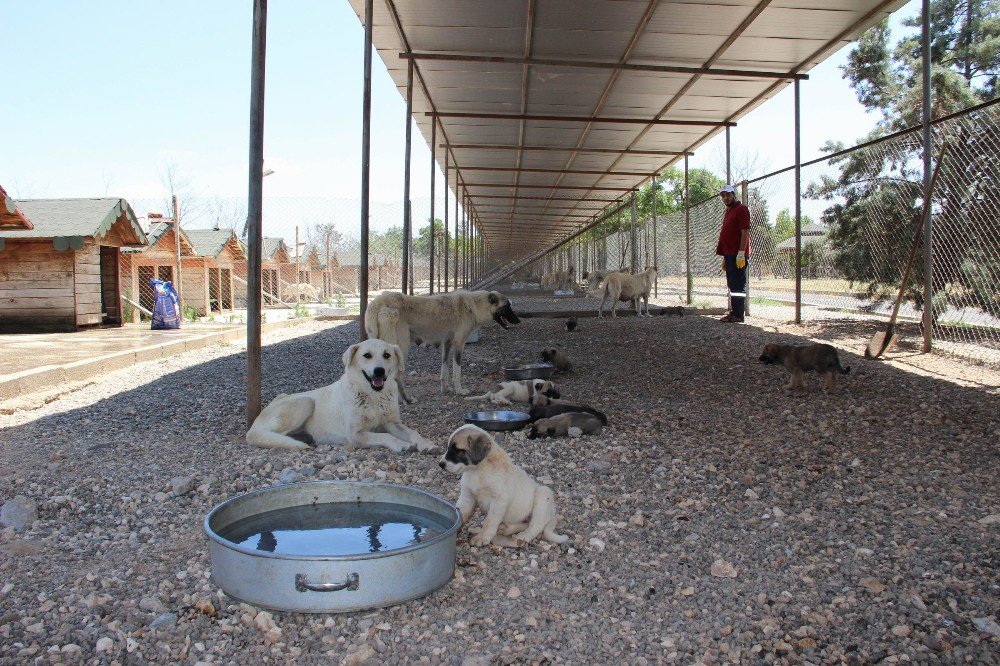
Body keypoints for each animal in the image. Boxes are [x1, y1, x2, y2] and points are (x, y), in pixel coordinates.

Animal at [246, 338, 434, 452]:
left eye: (387, 355)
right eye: (367, 355)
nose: (379, 371)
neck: (373, 396)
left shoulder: (392, 423)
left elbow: (413, 432)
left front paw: (426, 443)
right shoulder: (355, 434)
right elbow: (384, 435)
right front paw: (402, 444)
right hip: (306, 402)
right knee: (271, 435)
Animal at [440, 426, 572, 544]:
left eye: (457, 450)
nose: (441, 464)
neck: (477, 470)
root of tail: (553, 514)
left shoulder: (499, 501)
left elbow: (490, 521)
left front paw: (482, 537)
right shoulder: (467, 496)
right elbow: (462, 512)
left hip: (543, 494)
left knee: (536, 525)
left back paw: (522, 537)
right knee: (525, 523)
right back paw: (507, 528)